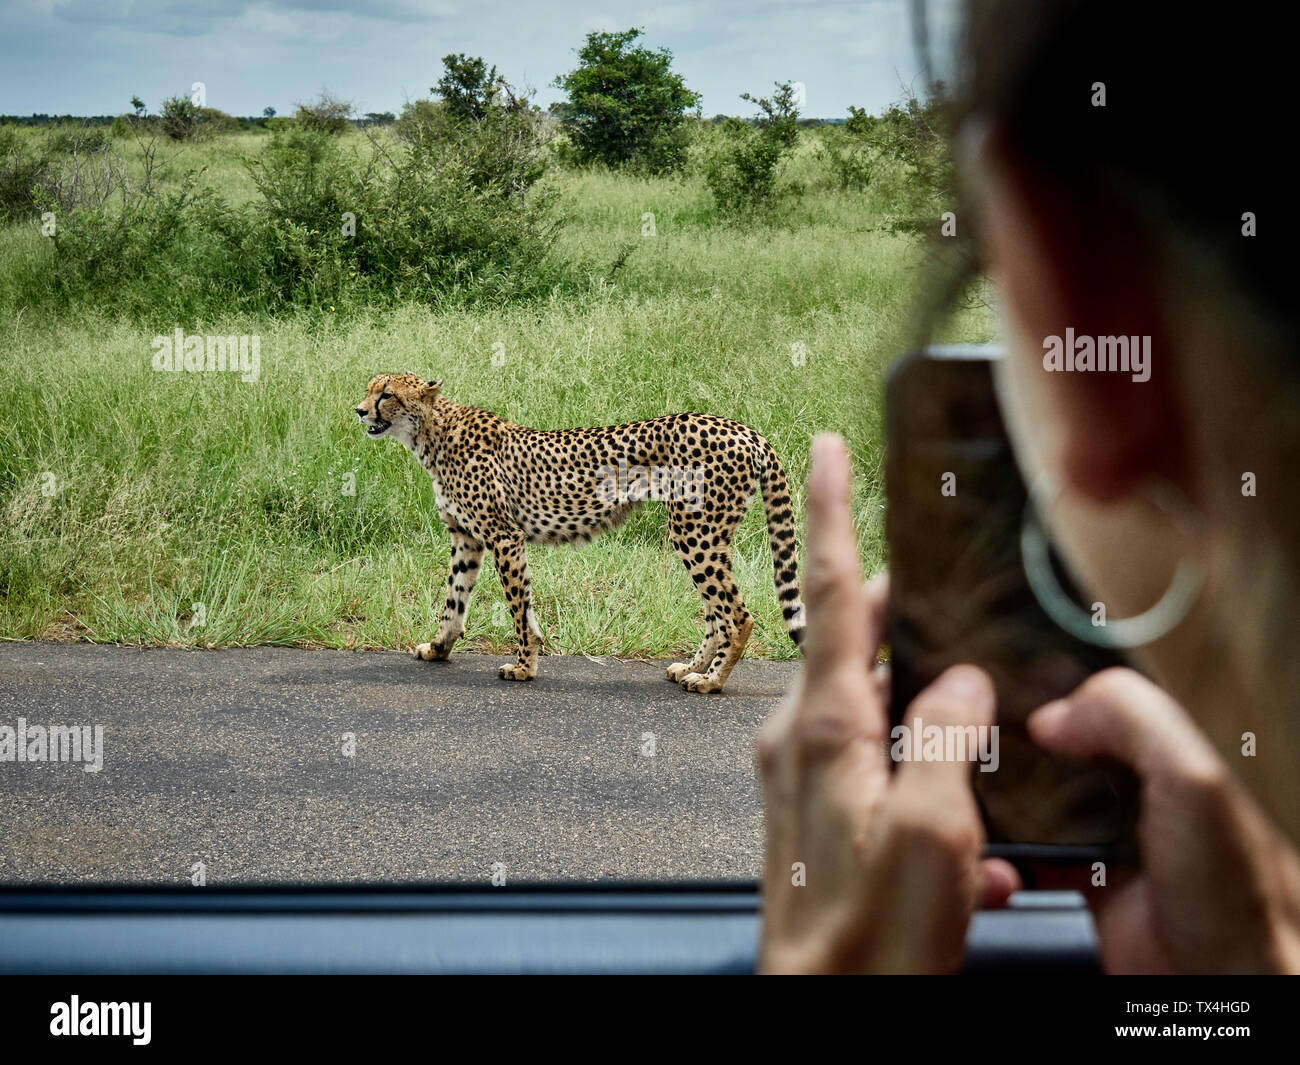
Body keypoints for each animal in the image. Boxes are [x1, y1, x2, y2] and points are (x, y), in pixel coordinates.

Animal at [356, 371, 800, 691]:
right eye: (369, 389)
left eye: (387, 394)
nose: (359, 411)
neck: (432, 433)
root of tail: (743, 429)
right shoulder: (466, 538)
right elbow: (454, 599)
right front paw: (438, 647)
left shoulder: (504, 536)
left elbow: (518, 607)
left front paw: (524, 666)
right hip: (705, 535)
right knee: (715, 612)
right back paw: (692, 667)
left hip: (695, 532)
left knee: (737, 615)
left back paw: (711, 681)